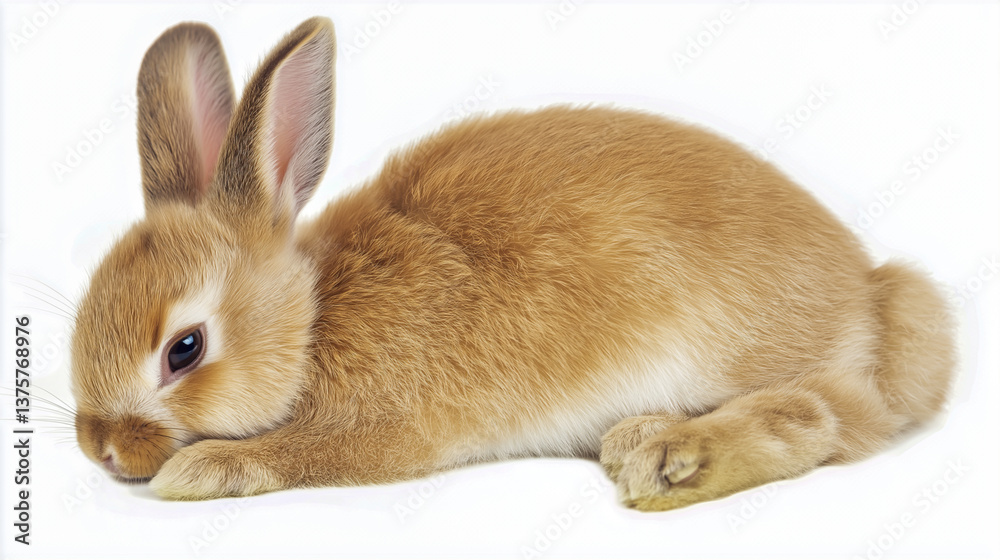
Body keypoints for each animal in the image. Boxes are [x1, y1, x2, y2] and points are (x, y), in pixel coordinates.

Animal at [70, 16, 956, 511]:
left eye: (185, 349)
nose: (99, 450)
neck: (316, 317)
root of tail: (872, 295)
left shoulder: (391, 427)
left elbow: (304, 452)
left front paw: (201, 470)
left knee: (821, 417)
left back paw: (665, 459)